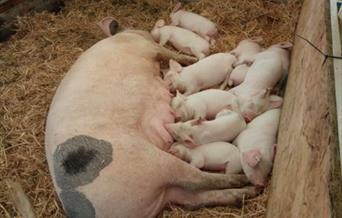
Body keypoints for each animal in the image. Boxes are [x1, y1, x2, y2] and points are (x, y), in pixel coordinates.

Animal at [45, 16, 260, 218]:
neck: (125, 36)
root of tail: (81, 208)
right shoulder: (147, 47)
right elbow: (170, 53)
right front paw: (189, 61)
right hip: (153, 162)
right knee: (198, 179)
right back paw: (248, 183)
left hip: (164, 191)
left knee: (194, 199)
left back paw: (247, 193)